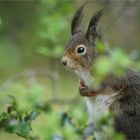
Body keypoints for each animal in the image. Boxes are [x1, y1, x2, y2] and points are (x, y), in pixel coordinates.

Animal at [60, 3, 140, 139]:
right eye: (66, 44)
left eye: (80, 49)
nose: (63, 61)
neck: (85, 71)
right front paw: (80, 87)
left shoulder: (114, 77)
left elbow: (104, 87)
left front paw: (87, 90)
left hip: (122, 114)